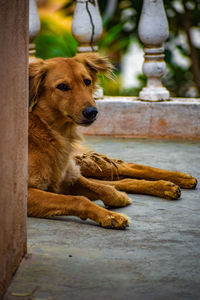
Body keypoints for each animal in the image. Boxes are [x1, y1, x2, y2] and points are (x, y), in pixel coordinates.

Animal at [28, 52, 197, 230]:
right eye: (62, 86)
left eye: (87, 81)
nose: (92, 112)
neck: (46, 128)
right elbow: (80, 199)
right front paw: (110, 215)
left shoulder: (68, 176)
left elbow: (102, 189)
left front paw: (116, 202)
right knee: (119, 180)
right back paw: (165, 186)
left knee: (127, 169)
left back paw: (179, 180)